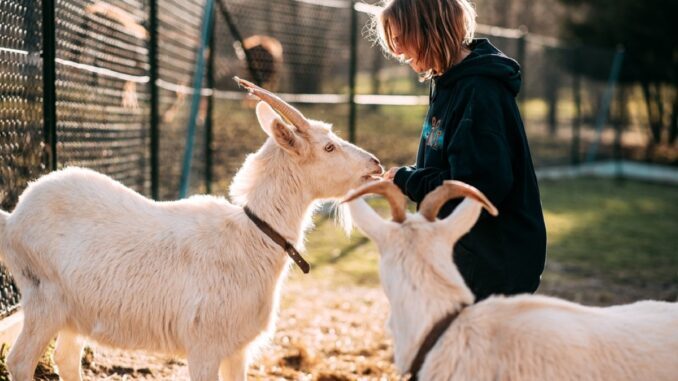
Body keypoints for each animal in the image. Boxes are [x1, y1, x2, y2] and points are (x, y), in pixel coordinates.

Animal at [0, 77, 382, 380]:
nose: (375, 165)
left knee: (66, 358)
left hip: (75, 311)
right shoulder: (205, 347)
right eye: (328, 146)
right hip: (44, 299)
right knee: (19, 360)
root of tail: (13, 218)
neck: (251, 236)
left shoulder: (237, 350)